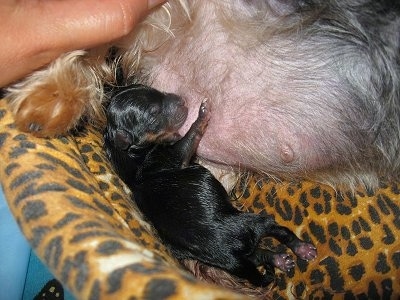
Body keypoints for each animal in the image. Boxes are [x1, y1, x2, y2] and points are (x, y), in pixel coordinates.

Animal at [104, 84, 318, 286]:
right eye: (154, 112)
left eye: (153, 89)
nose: (182, 100)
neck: (128, 153)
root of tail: (231, 254)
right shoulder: (173, 155)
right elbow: (190, 137)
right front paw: (202, 114)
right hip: (253, 223)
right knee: (281, 232)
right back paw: (301, 248)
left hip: (237, 260)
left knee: (258, 257)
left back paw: (278, 260)